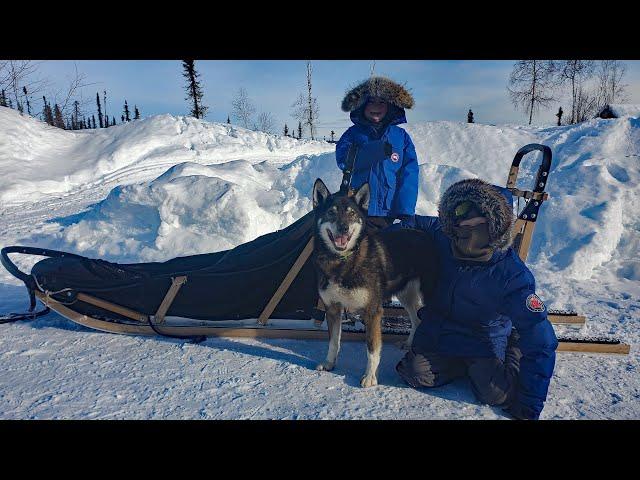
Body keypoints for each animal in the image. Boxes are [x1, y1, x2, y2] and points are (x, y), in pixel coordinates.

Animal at [312, 178, 440, 388]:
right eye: (331, 212)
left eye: (352, 213)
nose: (343, 228)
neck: (343, 261)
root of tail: (424, 234)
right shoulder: (333, 309)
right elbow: (333, 342)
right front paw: (330, 363)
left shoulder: (373, 312)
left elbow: (372, 349)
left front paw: (370, 377)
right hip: (405, 296)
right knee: (416, 320)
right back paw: (409, 343)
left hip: (427, 295)